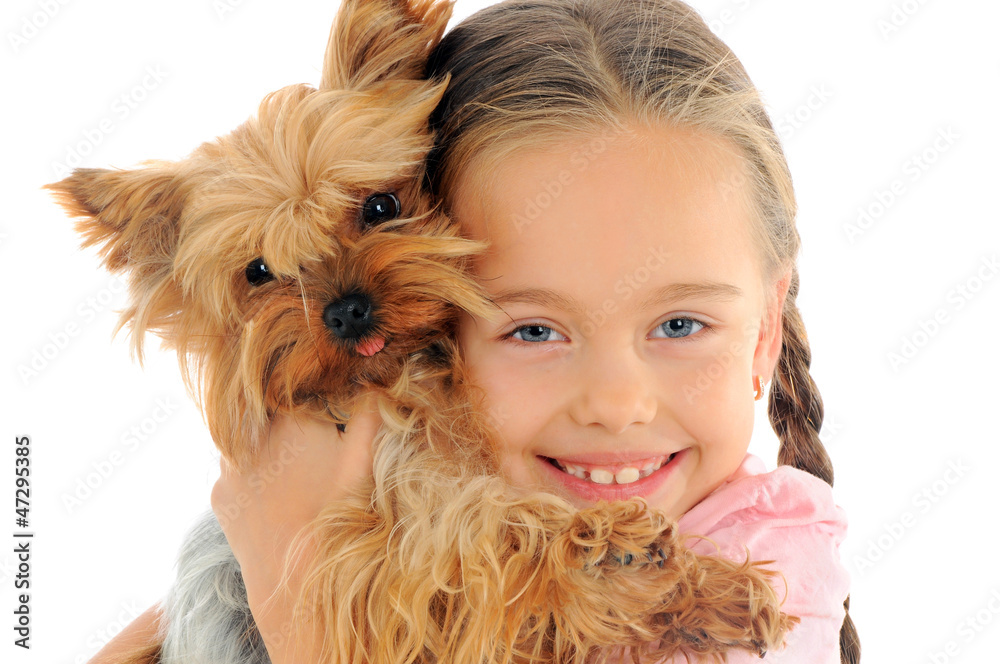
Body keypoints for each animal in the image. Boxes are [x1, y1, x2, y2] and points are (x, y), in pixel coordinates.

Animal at [47, 0, 796, 660]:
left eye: (380, 205)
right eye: (258, 272)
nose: (347, 309)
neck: (399, 392)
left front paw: (711, 591)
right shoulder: (386, 567)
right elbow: (485, 535)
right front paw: (611, 547)